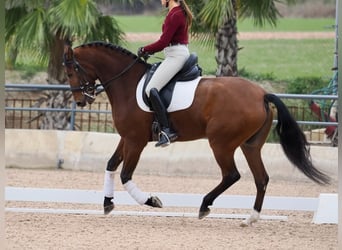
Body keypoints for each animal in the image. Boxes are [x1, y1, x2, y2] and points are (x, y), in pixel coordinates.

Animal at [62, 41, 330, 227]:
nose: (81, 100)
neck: (127, 83)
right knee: (261, 178)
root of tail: (262, 94)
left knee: (232, 175)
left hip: (221, 143)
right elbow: (110, 165)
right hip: (250, 146)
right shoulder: (127, 138)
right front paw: (107, 203)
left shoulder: (136, 141)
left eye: (71, 71)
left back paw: (204, 206)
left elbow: (126, 175)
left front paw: (151, 201)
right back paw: (250, 218)